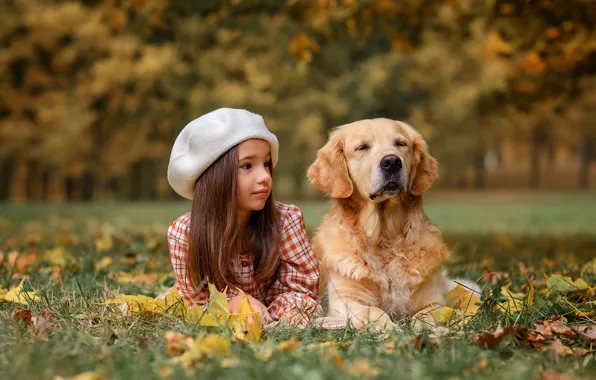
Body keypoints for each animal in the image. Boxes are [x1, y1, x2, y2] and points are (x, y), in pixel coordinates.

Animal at [308, 117, 452, 332]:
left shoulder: (433, 301)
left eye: (400, 144)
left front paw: (429, 331)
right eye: (362, 147)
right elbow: (375, 311)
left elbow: (424, 315)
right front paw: (393, 331)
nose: (392, 162)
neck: (384, 237)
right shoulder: (345, 301)